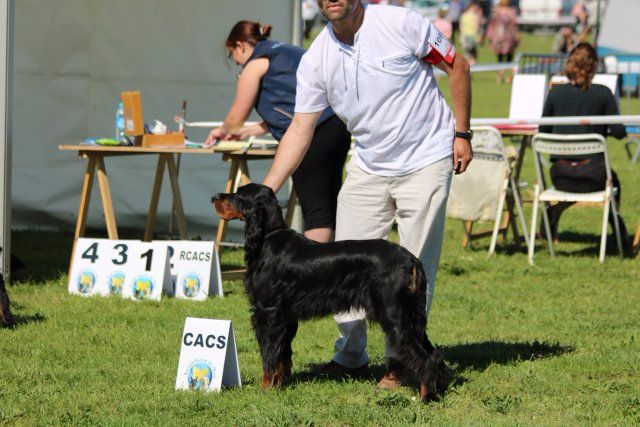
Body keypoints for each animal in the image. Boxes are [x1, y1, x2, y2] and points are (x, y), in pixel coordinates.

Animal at [212, 183, 448, 402]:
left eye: (238, 195)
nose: (214, 197)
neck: (268, 237)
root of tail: (411, 259)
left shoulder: (268, 312)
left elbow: (269, 354)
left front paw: (265, 389)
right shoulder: (286, 316)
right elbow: (283, 353)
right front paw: (281, 384)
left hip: (393, 315)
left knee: (423, 356)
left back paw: (425, 396)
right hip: (412, 316)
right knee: (434, 353)